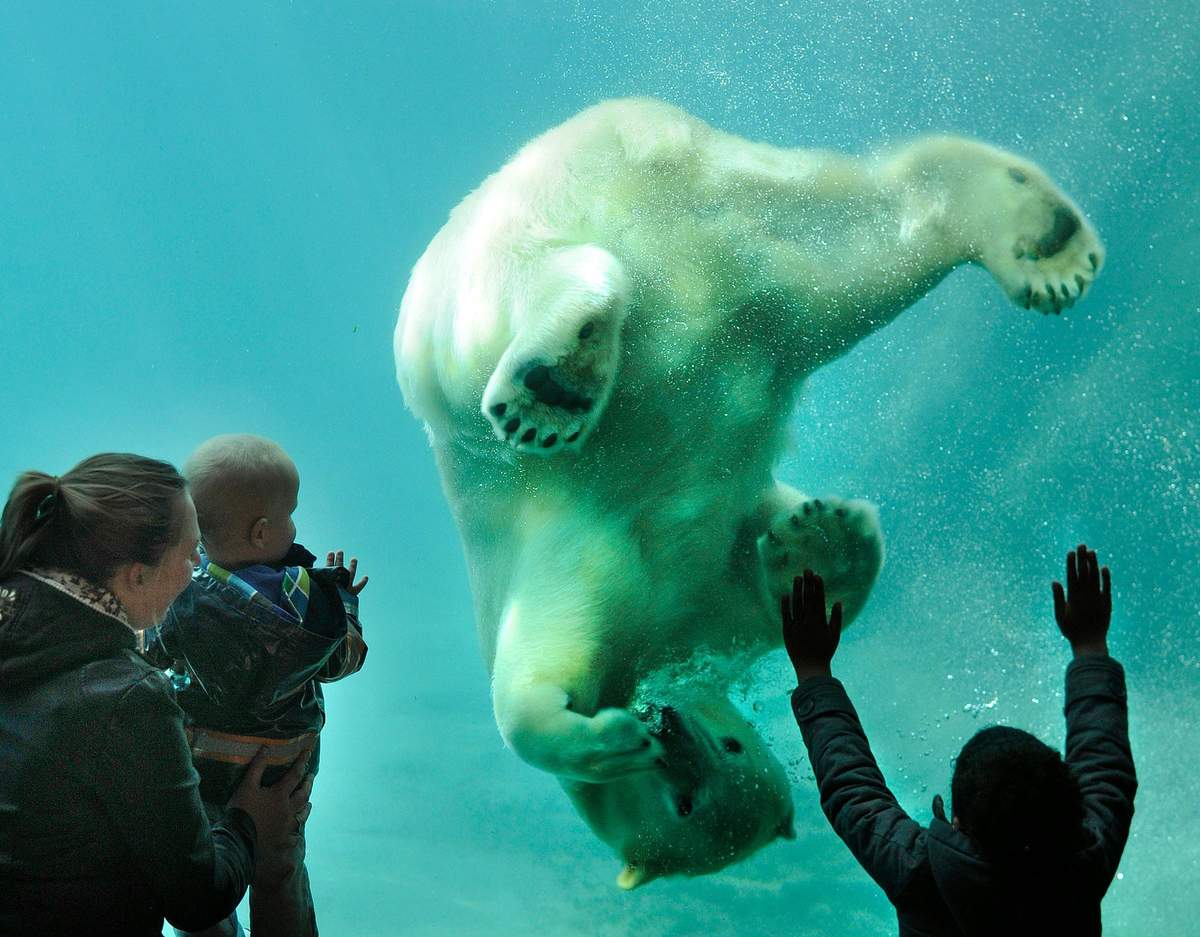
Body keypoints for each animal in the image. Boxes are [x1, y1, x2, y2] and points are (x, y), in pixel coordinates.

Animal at [393, 97, 1103, 888]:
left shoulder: (662, 597)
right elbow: (530, 691)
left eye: (728, 755)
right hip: (734, 271)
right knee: (860, 249)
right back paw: (1041, 235)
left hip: (511, 283)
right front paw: (819, 539)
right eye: (682, 804)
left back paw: (552, 381)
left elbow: (528, 689)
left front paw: (817, 543)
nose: (664, 729)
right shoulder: (634, 583)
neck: (660, 648)